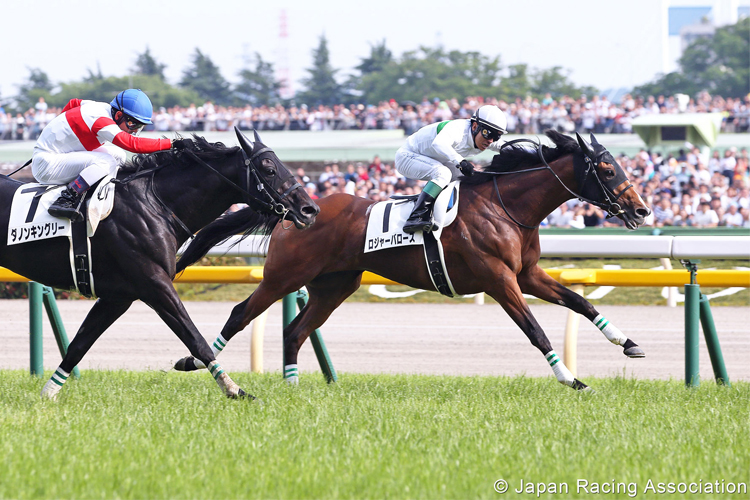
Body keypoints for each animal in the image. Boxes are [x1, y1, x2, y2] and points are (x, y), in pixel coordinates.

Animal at [0, 128, 318, 398]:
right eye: (269, 169)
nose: (310, 209)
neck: (155, 205)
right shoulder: (154, 285)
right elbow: (195, 338)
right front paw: (234, 389)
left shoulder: (118, 296)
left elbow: (79, 344)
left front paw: (48, 394)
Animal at [176, 132, 652, 390]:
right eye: (607, 170)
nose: (642, 209)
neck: (506, 207)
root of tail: (297, 209)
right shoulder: (499, 280)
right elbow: (535, 330)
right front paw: (571, 378)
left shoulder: (528, 274)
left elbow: (581, 302)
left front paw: (628, 342)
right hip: (283, 276)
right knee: (241, 313)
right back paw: (195, 362)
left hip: (335, 284)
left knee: (295, 331)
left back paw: (292, 385)